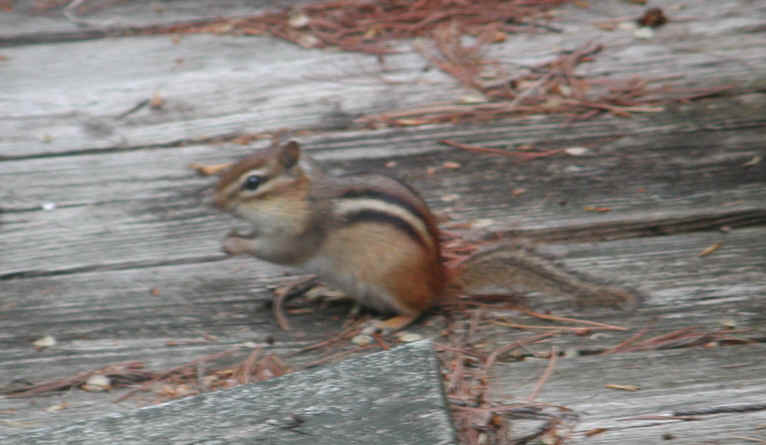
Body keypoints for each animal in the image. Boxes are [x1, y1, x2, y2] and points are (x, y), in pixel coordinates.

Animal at [212, 141, 639, 330]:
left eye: (253, 182)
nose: (212, 200)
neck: (302, 195)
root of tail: (440, 280)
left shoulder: (302, 231)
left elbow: (279, 251)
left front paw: (235, 241)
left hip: (389, 281)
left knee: (417, 309)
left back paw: (387, 324)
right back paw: (331, 292)